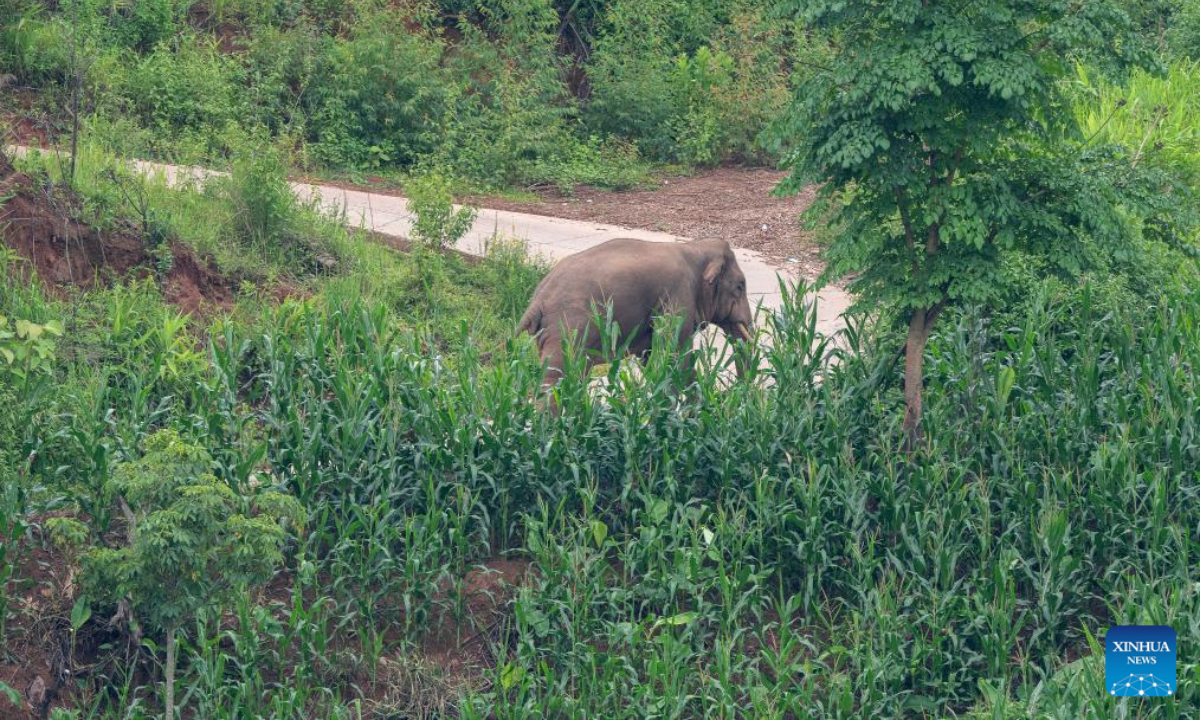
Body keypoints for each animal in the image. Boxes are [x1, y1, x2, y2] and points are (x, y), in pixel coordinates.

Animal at [518, 237, 755, 389]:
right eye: (740, 286)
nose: (736, 392)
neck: (695, 248)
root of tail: (536, 300)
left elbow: (653, 357)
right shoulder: (677, 297)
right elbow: (675, 355)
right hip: (569, 327)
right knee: (558, 375)